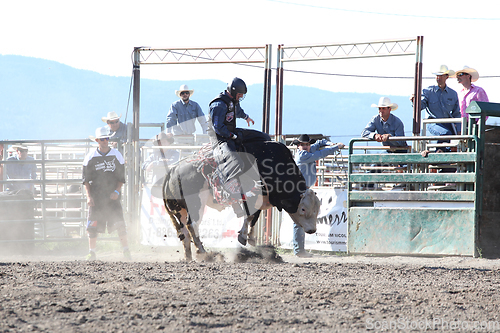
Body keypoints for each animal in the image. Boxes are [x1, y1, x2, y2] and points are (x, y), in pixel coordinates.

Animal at [162, 139, 322, 260]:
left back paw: (188, 256)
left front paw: (251, 238)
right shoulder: (252, 195)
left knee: (184, 230)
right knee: (192, 225)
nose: (312, 230)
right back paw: (203, 252)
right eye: (303, 209)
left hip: (179, 209)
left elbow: (255, 217)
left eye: (317, 210)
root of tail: (173, 170)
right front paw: (243, 236)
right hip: (196, 204)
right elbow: (250, 216)